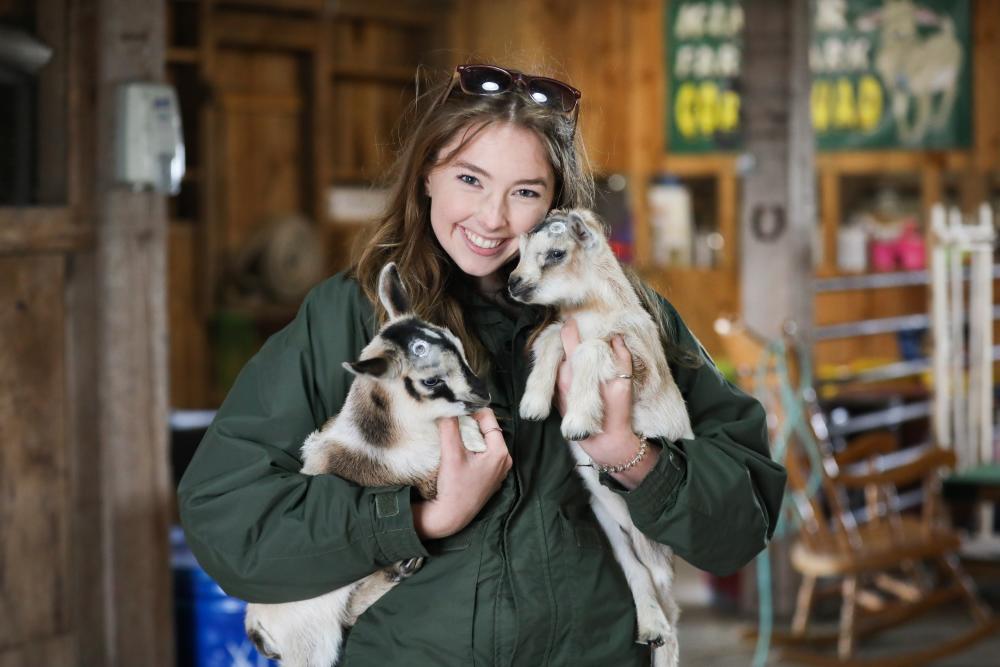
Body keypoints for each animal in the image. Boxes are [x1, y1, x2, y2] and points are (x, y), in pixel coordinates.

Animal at [244, 264, 490, 664]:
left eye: (456, 342)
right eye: (431, 379)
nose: (482, 393)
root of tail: (257, 627)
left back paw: (401, 569)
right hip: (313, 644)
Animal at [508, 210, 696, 667]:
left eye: (556, 253)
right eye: (519, 249)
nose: (514, 283)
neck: (596, 310)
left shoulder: (637, 359)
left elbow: (591, 349)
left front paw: (577, 422)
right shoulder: (563, 330)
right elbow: (553, 338)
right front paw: (534, 404)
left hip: (649, 538)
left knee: (671, 605)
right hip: (610, 522)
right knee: (638, 573)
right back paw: (649, 628)